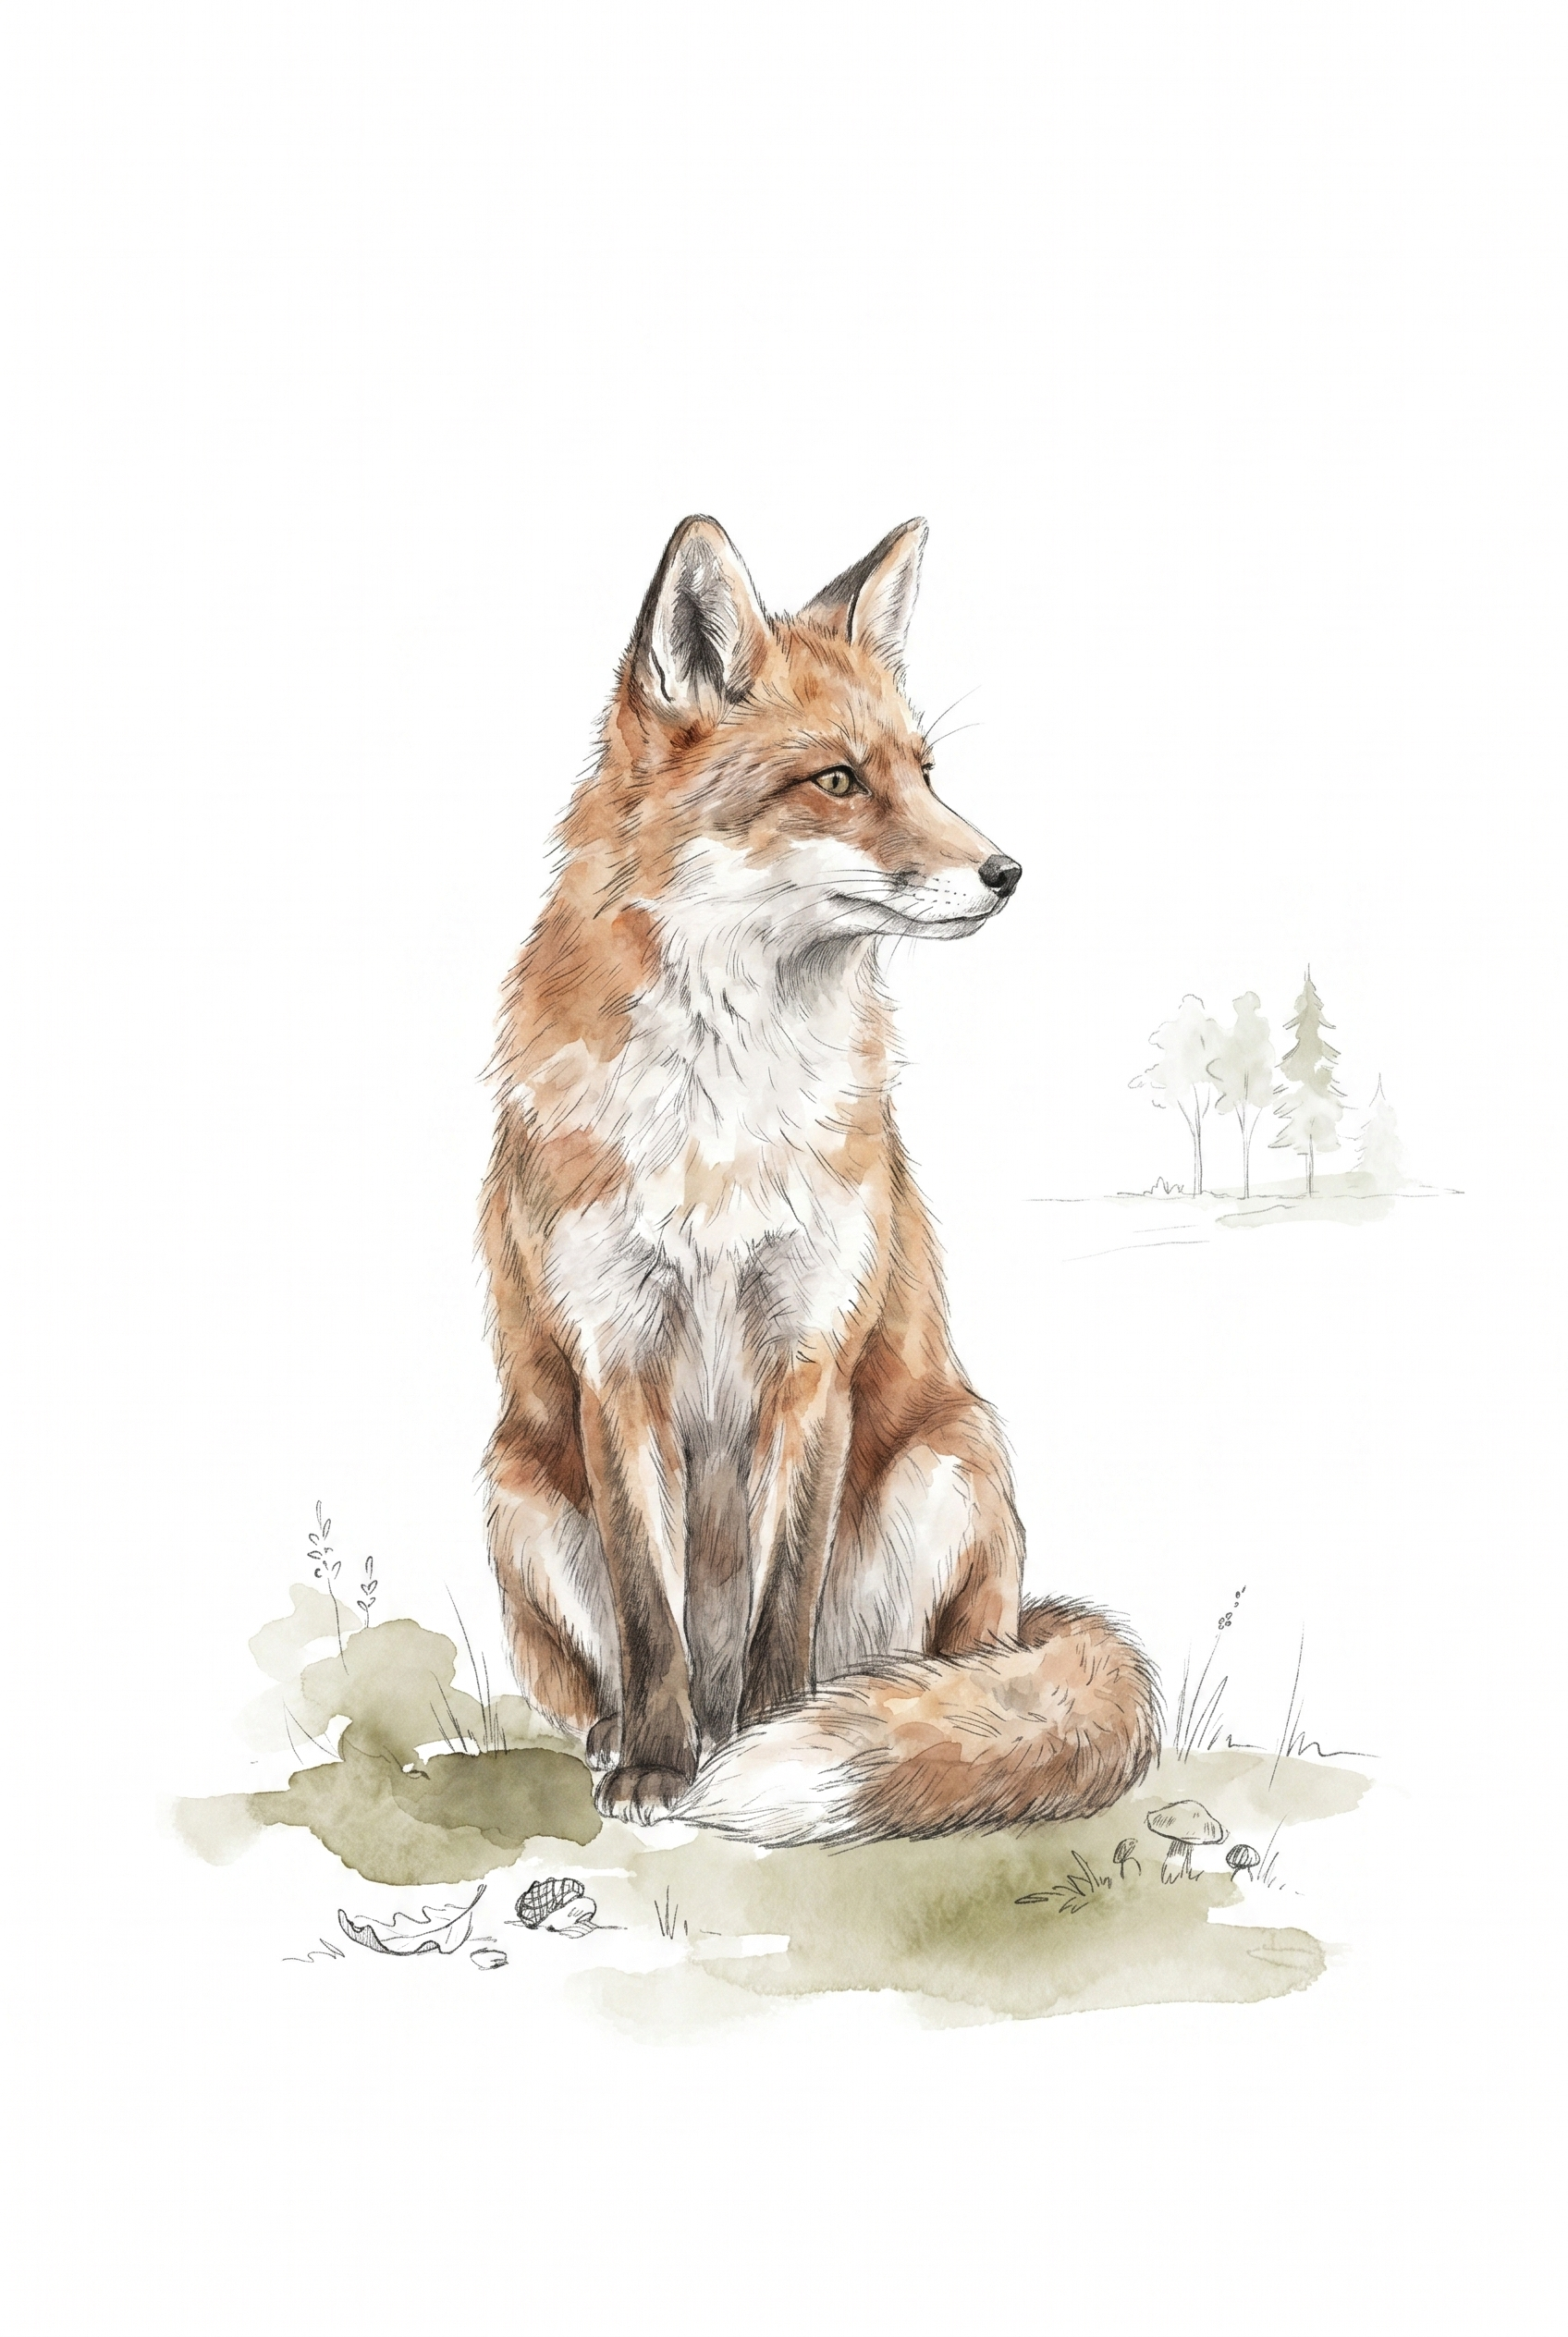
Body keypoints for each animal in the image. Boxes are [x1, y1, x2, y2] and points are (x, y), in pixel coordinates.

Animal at [480, 515, 1159, 1844]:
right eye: (838, 781)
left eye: (925, 769)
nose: (1006, 871)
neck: (722, 1125)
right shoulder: (615, 1365)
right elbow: (650, 1615)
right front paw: (658, 1766)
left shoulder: (813, 1355)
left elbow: (781, 1607)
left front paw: (771, 1734)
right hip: (521, 1488)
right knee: (607, 1671)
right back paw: (628, 1735)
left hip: (951, 1460)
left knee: (929, 1668)